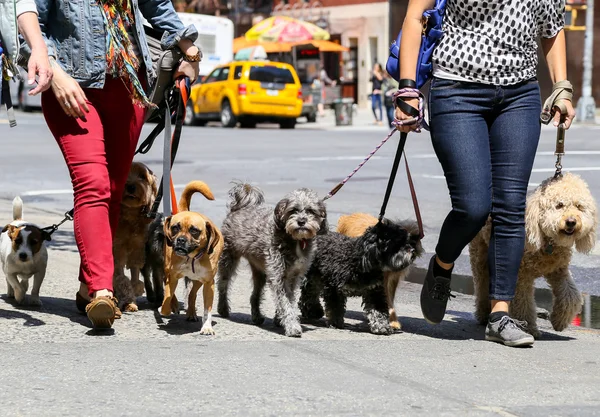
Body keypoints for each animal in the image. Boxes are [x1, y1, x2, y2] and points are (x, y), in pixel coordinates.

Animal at [113, 161, 158, 310]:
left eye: (142, 176)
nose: (131, 186)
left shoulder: (137, 248)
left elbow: (134, 277)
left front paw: (132, 298)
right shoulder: (118, 249)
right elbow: (121, 278)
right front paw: (128, 300)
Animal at [161, 180, 224, 334]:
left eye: (194, 231)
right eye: (175, 228)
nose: (181, 240)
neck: (192, 258)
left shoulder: (209, 284)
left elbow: (207, 309)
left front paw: (206, 327)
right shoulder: (172, 276)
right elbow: (168, 295)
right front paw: (166, 308)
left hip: (198, 280)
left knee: (192, 294)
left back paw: (190, 312)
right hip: (167, 270)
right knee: (170, 289)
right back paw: (173, 306)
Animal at [217, 183, 328, 338]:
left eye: (311, 211)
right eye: (293, 210)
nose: (301, 221)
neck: (295, 240)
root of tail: (238, 208)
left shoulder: (294, 276)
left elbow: (289, 300)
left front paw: (280, 319)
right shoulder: (278, 276)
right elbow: (285, 303)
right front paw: (292, 326)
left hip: (260, 271)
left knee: (255, 296)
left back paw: (257, 316)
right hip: (228, 258)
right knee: (223, 284)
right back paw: (223, 309)